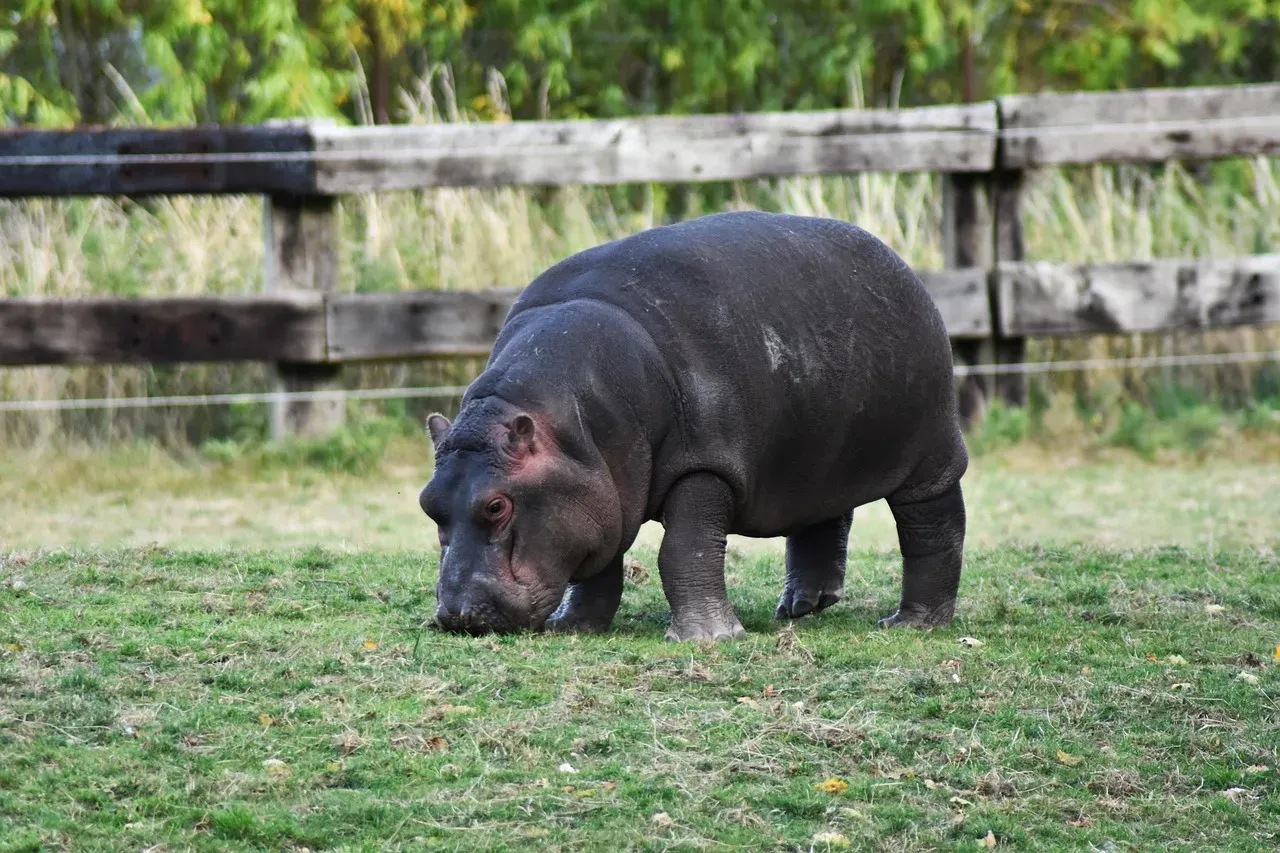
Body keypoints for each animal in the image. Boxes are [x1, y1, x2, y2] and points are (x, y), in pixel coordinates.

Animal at [420, 210, 968, 641]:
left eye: (496, 505)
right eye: (428, 504)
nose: (458, 615)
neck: (572, 429)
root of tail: (896, 261)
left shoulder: (704, 464)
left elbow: (685, 549)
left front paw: (707, 638)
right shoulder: (602, 490)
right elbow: (598, 563)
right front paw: (572, 627)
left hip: (931, 448)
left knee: (933, 526)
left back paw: (912, 624)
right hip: (818, 454)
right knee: (824, 516)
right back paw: (800, 607)